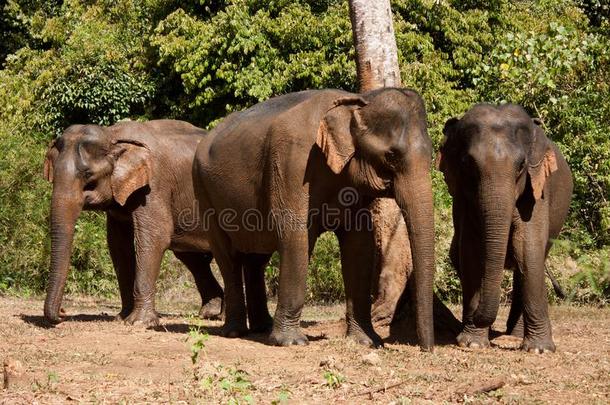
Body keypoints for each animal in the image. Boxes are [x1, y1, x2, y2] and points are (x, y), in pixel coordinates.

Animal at [42, 118, 270, 330]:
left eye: (88, 175)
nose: (62, 314)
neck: (113, 134)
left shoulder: (154, 186)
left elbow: (154, 238)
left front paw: (138, 322)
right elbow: (118, 246)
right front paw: (121, 318)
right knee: (191, 257)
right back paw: (210, 313)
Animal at [192, 89, 434, 350]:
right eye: (391, 156)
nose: (425, 349)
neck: (355, 101)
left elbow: (360, 245)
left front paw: (367, 342)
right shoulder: (292, 162)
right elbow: (294, 234)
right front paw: (291, 342)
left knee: (256, 259)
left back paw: (261, 328)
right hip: (204, 191)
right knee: (228, 257)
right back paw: (235, 332)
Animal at [436, 103, 568, 350]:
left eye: (521, 165)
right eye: (467, 163)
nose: (477, 316)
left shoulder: (536, 191)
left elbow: (527, 248)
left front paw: (540, 349)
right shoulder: (462, 199)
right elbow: (470, 250)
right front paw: (472, 343)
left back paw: (515, 335)